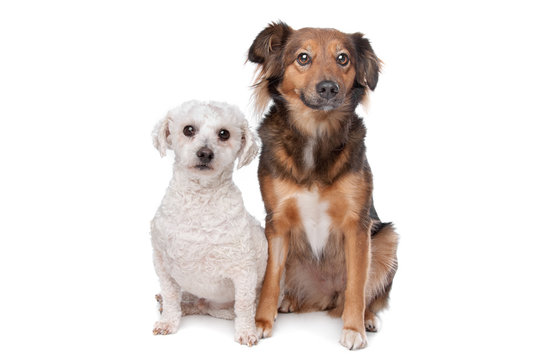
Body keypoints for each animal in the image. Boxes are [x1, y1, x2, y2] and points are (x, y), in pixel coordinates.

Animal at [150, 99, 268, 346]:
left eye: (224, 134)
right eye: (188, 130)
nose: (205, 153)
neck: (201, 200)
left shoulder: (244, 270)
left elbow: (244, 305)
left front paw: (247, 332)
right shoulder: (162, 263)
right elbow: (171, 295)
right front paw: (168, 322)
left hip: (223, 309)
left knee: (209, 307)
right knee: (190, 301)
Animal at [247, 21, 398, 348]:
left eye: (343, 59)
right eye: (303, 57)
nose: (329, 88)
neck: (315, 134)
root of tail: (322, 295)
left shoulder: (358, 223)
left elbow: (357, 285)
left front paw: (354, 329)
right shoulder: (277, 222)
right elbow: (270, 279)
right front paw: (261, 322)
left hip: (387, 238)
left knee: (366, 293)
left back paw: (367, 318)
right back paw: (287, 301)